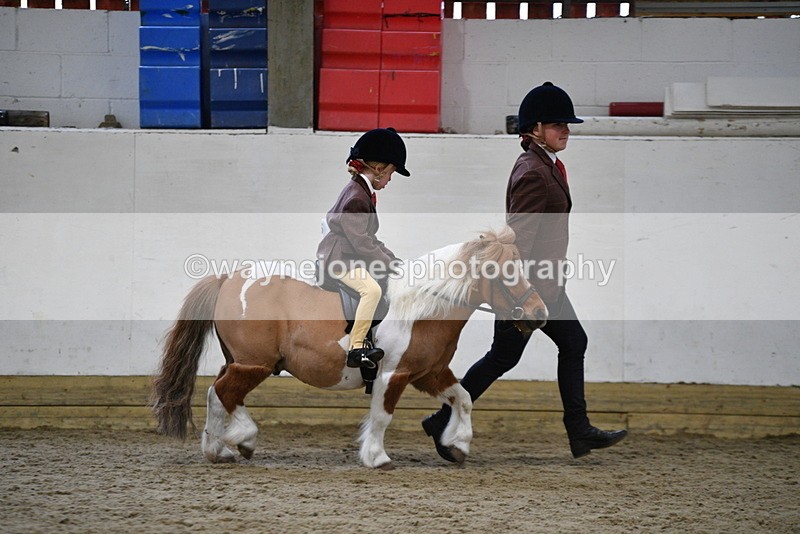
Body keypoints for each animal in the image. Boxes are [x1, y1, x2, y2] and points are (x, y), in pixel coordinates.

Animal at [152, 227, 548, 469]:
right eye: (507, 273)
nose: (540, 314)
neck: (422, 306)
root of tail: (229, 279)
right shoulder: (393, 374)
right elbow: (382, 416)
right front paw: (377, 457)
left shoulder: (429, 373)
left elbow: (463, 398)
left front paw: (458, 445)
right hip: (255, 364)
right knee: (224, 393)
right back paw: (241, 439)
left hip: (240, 361)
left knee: (217, 394)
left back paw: (217, 448)